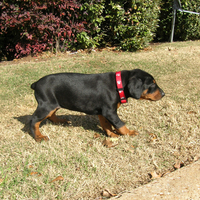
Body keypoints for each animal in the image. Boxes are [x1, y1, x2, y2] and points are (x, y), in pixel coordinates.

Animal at [29, 69, 164, 142]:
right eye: (152, 84)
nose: (163, 94)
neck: (119, 84)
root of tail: (35, 84)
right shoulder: (110, 111)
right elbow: (120, 124)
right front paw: (129, 133)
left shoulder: (103, 112)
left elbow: (106, 125)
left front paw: (111, 135)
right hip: (46, 105)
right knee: (34, 120)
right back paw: (38, 137)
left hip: (53, 104)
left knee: (51, 115)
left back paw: (61, 121)